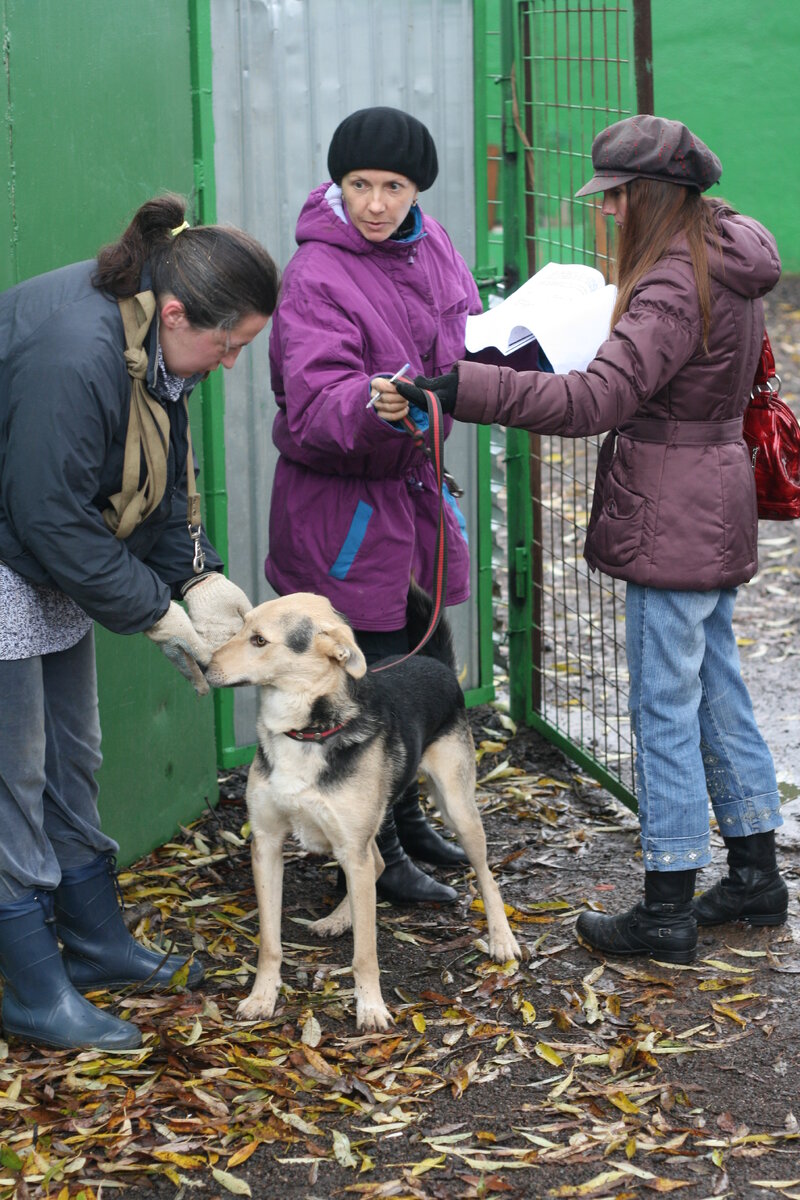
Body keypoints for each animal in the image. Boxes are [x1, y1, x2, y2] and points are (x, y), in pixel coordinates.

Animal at [203, 585, 522, 1027]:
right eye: (240, 626)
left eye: (260, 641)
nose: (203, 666)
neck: (305, 731)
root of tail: (434, 662)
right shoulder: (266, 843)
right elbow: (269, 942)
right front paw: (262, 997)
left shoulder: (351, 849)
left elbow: (366, 953)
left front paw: (371, 1006)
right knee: (381, 862)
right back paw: (340, 917)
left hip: (457, 809)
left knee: (486, 877)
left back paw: (501, 938)